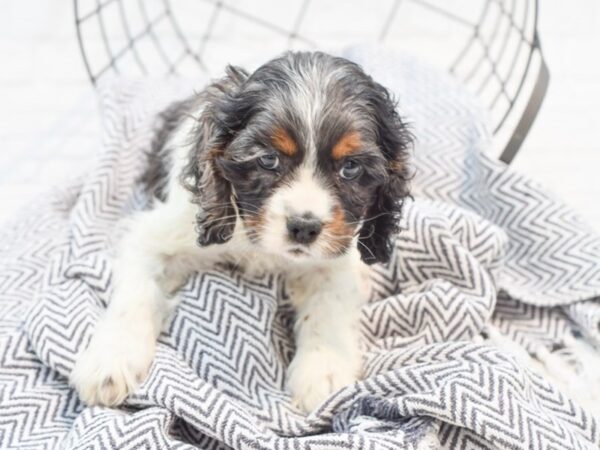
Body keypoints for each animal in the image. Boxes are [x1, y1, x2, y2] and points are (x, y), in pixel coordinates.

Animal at [69, 51, 408, 414]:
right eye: (268, 159)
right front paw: (111, 361)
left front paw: (324, 371)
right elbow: (135, 294)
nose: (304, 227)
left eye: (350, 168)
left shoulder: (337, 258)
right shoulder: (153, 236)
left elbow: (330, 307)